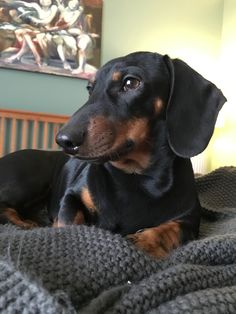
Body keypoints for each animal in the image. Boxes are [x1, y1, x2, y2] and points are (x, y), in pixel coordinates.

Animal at [0, 52, 226, 258]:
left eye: (131, 82)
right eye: (90, 88)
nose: (64, 140)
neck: (138, 176)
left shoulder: (190, 219)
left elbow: (171, 229)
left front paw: (143, 242)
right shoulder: (71, 197)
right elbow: (70, 224)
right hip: (29, 181)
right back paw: (25, 223)